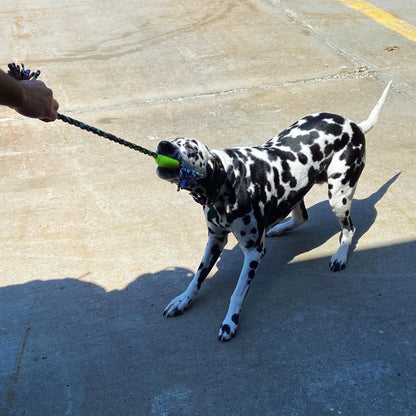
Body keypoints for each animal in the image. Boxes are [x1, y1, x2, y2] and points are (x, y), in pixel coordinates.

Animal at [155, 82, 390, 342]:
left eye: (190, 148)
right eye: (175, 140)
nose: (163, 145)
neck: (229, 178)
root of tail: (354, 125)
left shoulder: (253, 253)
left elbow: (237, 292)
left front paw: (230, 321)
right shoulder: (215, 240)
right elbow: (197, 278)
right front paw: (183, 300)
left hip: (339, 196)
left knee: (349, 229)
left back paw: (340, 255)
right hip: (297, 190)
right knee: (301, 217)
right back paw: (278, 228)